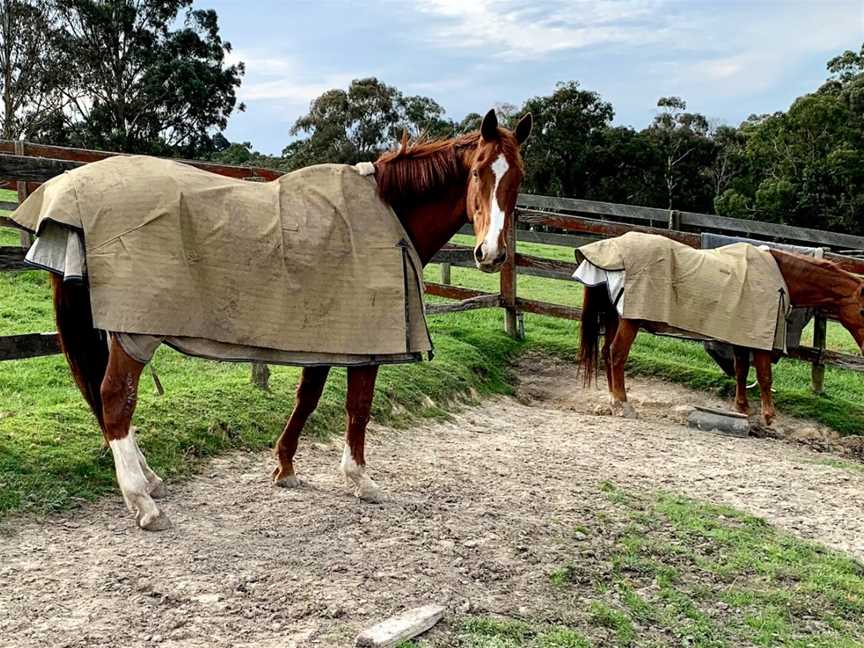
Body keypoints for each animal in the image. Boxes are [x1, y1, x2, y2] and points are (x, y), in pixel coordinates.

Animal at [572, 233, 864, 426]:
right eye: (862, 311)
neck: (778, 275)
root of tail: (610, 253)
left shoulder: (742, 334)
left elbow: (741, 370)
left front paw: (743, 408)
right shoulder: (759, 338)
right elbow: (765, 377)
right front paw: (769, 416)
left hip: (615, 316)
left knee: (607, 353)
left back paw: (613, 400)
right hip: (631, 318)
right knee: (616, 355)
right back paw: (623, 404)